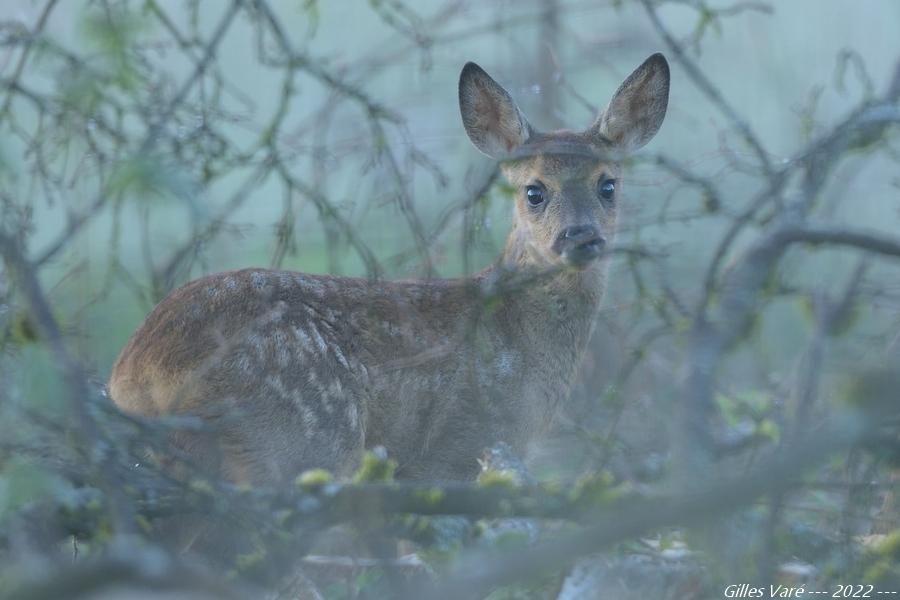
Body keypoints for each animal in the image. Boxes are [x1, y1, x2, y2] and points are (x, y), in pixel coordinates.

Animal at [109, 54, 668, 486]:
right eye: (534, 190)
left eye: (608, 185)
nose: (581, 237)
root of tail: (135, 375)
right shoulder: (456, 442)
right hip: (301, 430)